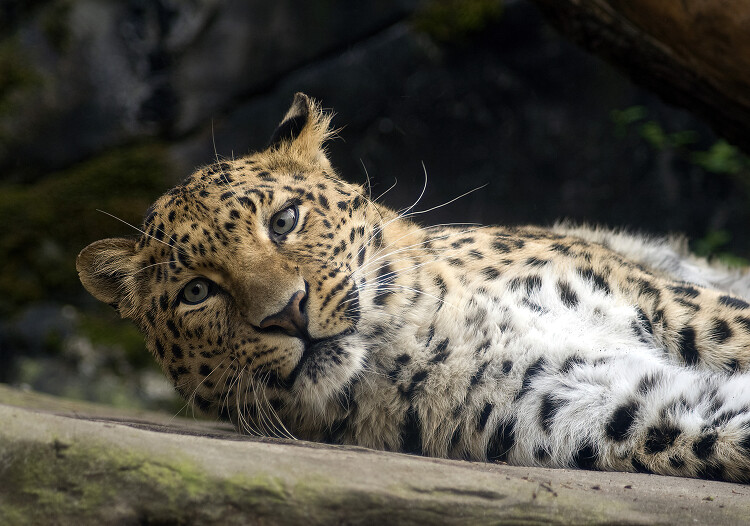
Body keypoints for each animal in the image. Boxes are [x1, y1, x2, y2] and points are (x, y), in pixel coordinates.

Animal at [75, 94, 750, 482]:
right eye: (196, 293)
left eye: (284, 221)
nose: (286, 314)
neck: (413, 332)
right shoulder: (592, 402)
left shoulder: (663, 303)